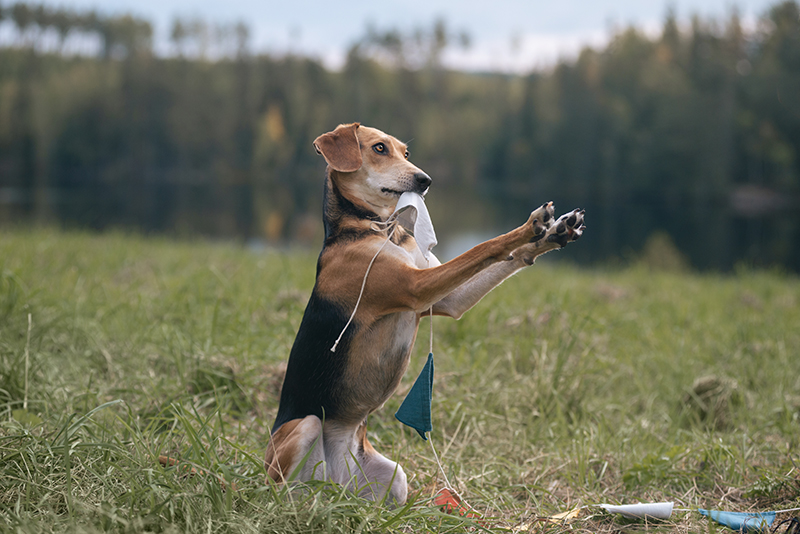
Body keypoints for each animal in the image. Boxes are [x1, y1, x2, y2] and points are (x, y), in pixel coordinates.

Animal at [266, 123, 584, 504]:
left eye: (406, 152)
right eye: (379, 148)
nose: (425, 180)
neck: (375, 227)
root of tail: (336, 483)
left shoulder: (447, 299)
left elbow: (511, 257)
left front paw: (554, 233)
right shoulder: (416, 287)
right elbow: (485, 246)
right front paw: (529, 225)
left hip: (395, 477)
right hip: (304, 428)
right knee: (285, 488)